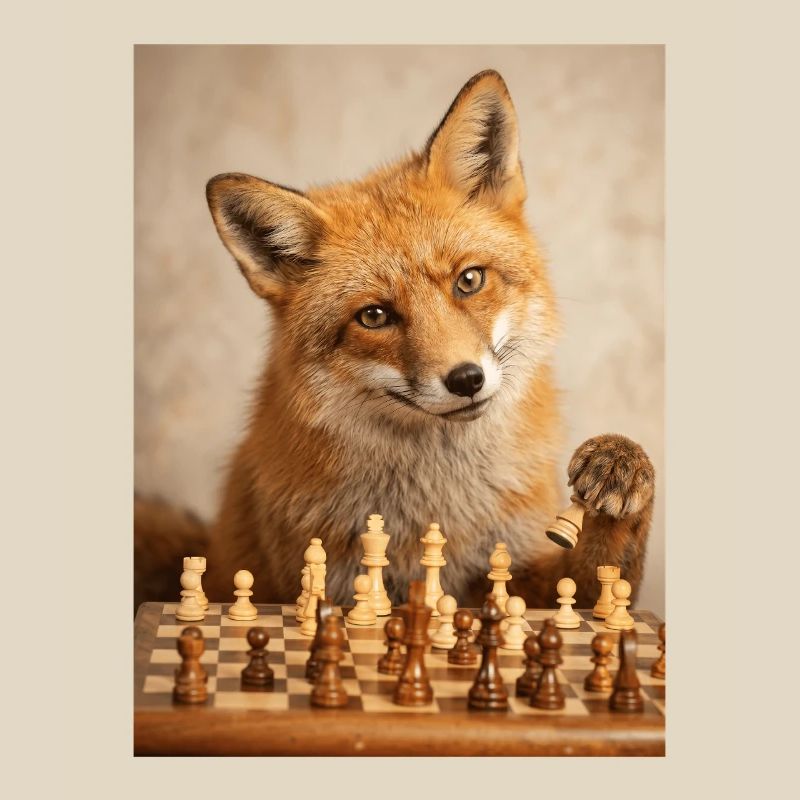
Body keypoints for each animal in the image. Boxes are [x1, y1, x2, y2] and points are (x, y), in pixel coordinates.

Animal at [134, 69, 655, 611]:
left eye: (469, 280)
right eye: (375, 316)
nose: (466, 380)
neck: (437, 506)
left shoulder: (518, 574)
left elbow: (602, 581)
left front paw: (619, 466)